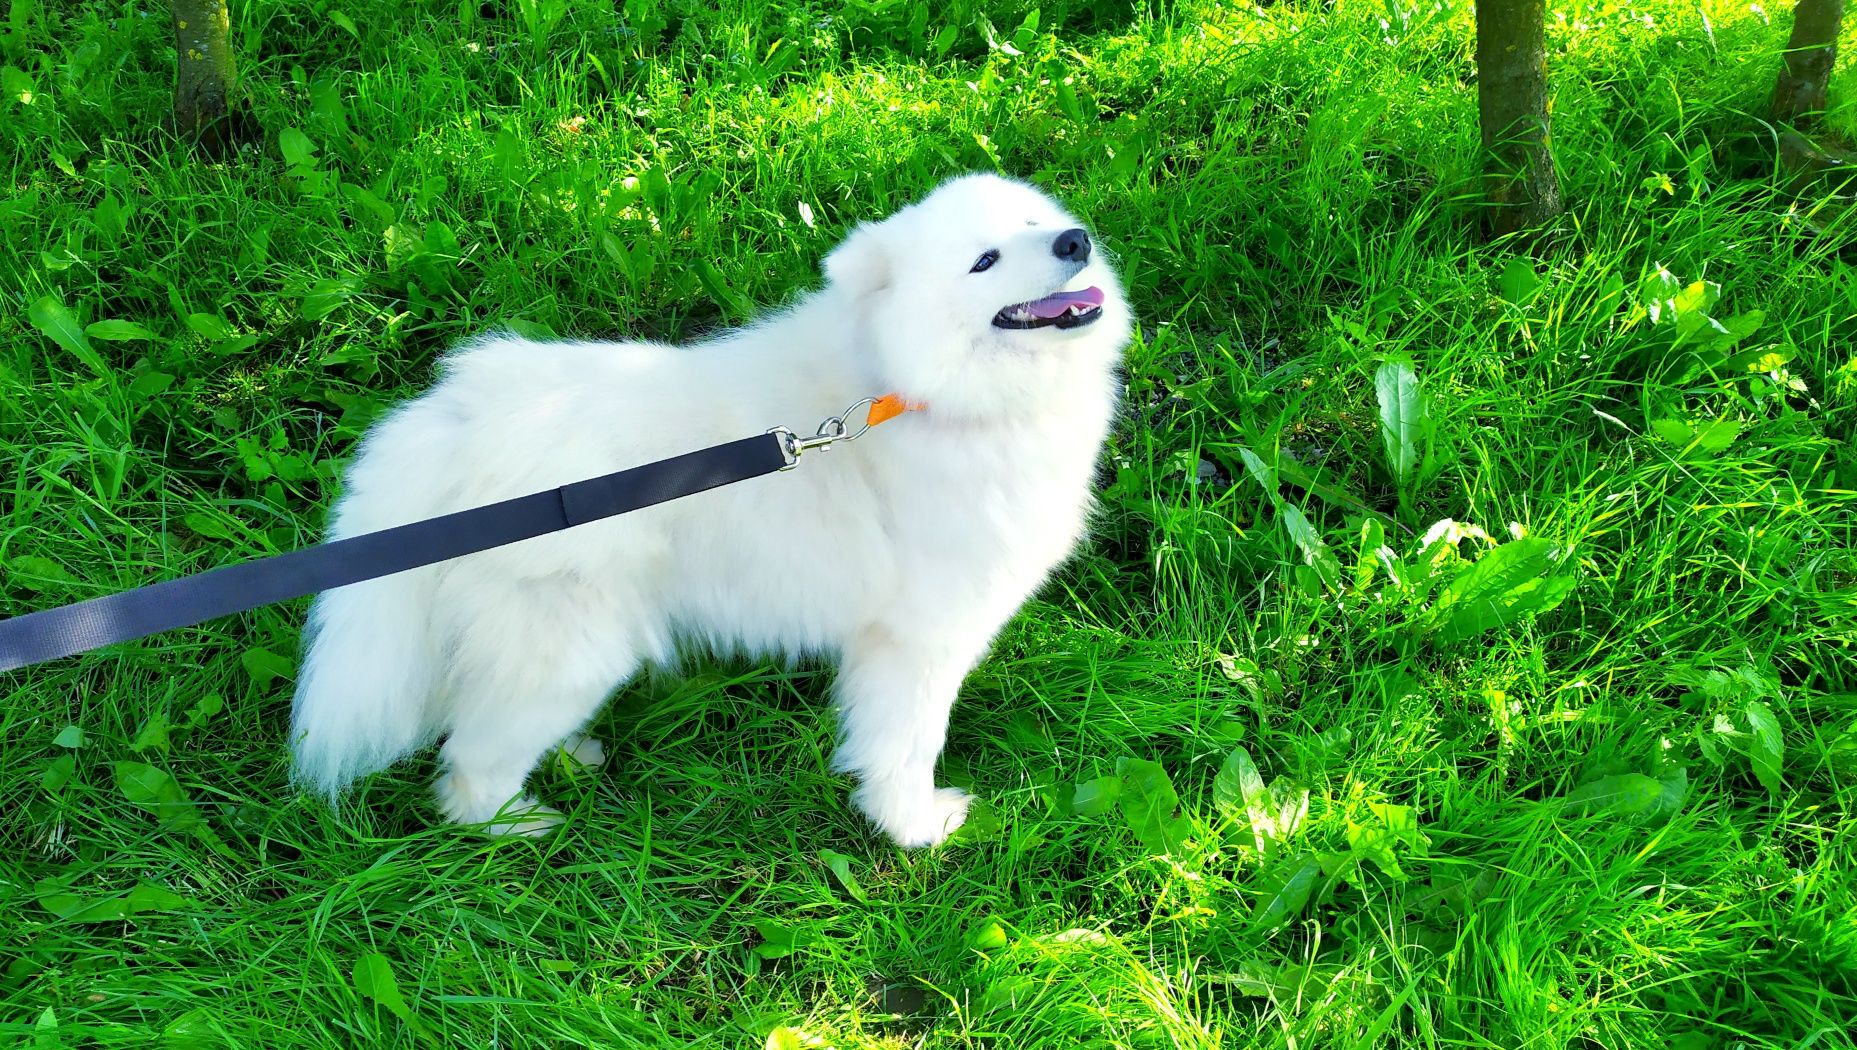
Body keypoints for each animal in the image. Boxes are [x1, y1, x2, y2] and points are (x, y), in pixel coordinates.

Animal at [289, 170, 1129, 843]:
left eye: (1031, 221)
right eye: (984, 262)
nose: (1074, 241)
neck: (912, 392)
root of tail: (448, 430)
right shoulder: (918, 640)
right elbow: (902, 747)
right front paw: (914, 829)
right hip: (569, 652)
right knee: (468, 763)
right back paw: (515, 824)